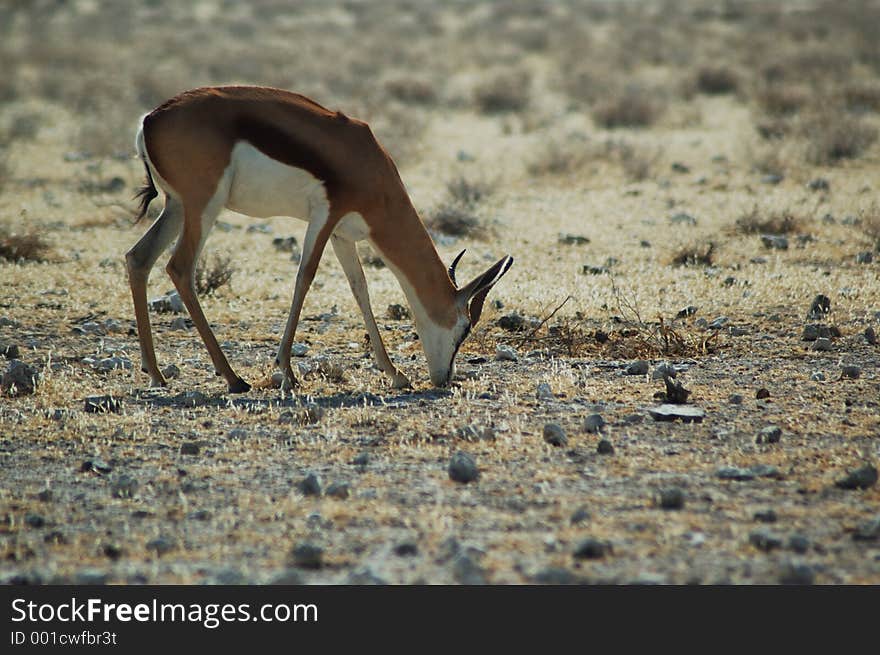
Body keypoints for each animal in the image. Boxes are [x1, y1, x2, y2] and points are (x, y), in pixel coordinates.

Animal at [123, 87, 508, 394]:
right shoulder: (325, 215)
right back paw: (233, 379)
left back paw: (156, 373)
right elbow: (304, 278)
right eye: (464, 328)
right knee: (180, 268)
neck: (368, 163)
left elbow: (360, 290)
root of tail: (149, 121)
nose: (444, 379)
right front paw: (288, 372)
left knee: (138, 258)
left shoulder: (343, 234)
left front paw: (396, 374)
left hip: (176, 207)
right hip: (203, 207)